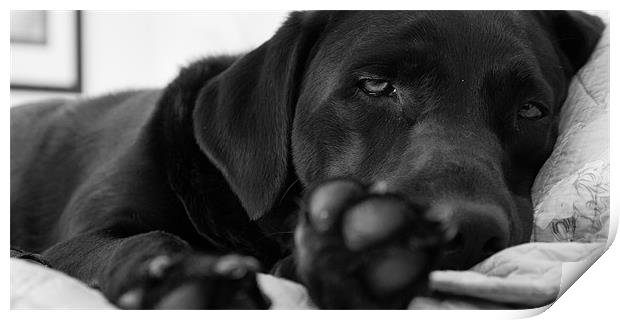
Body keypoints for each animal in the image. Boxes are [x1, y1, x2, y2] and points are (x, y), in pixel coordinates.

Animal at [8, 10, 600, 310]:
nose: (470, 233)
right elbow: (142, 239)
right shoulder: (76, 239)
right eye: (375, 85)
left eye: (531, 109)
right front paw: (181, 275)